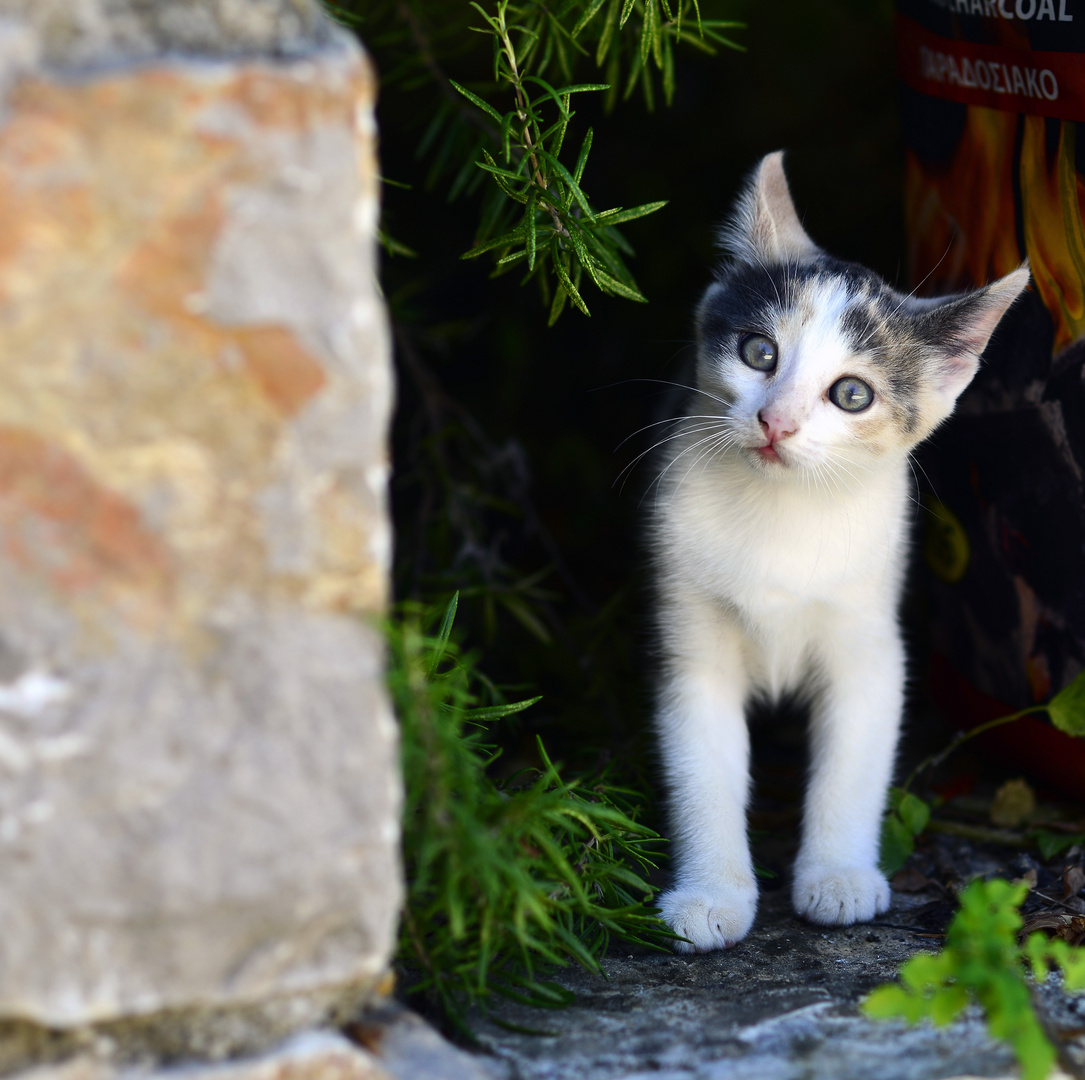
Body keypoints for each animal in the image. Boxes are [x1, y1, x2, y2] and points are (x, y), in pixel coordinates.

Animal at [646, 154, 1028, 955]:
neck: (782, 515)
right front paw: (711, 892)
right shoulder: (689, 634)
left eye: (851, 395)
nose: (776, 422)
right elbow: (701, 766)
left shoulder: (869, 638)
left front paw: (839, 875)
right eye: (759, 353)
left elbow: (853, 761)